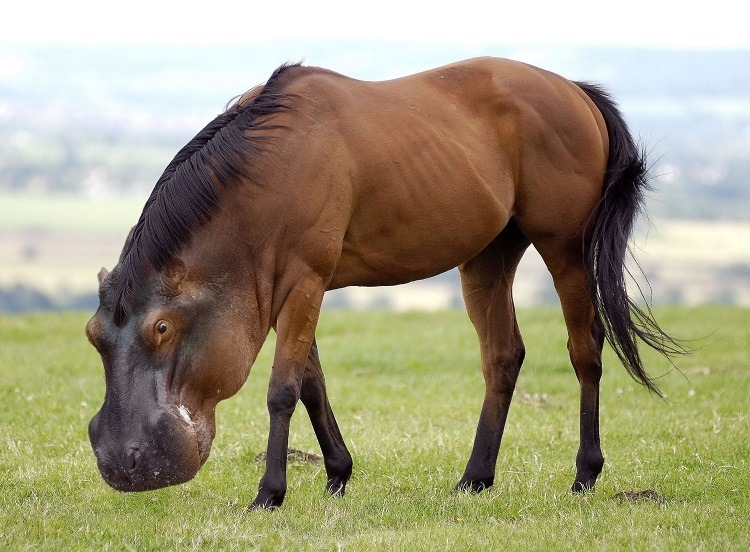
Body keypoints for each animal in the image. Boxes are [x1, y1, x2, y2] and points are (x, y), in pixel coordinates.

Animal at [86, 56, 680, 508]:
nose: (121, 462)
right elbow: (311, 383)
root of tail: (576, 92)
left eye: (161, 329)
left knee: (585, 351)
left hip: (565, 250)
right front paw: (337, 472)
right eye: (94, 337)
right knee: (503, 356)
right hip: (487, 256)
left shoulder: (304, 282)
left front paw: (270, 492)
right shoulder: (287, 289)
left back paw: (585, 472)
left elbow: (283, 389)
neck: (268, 168)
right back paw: (475, 477)